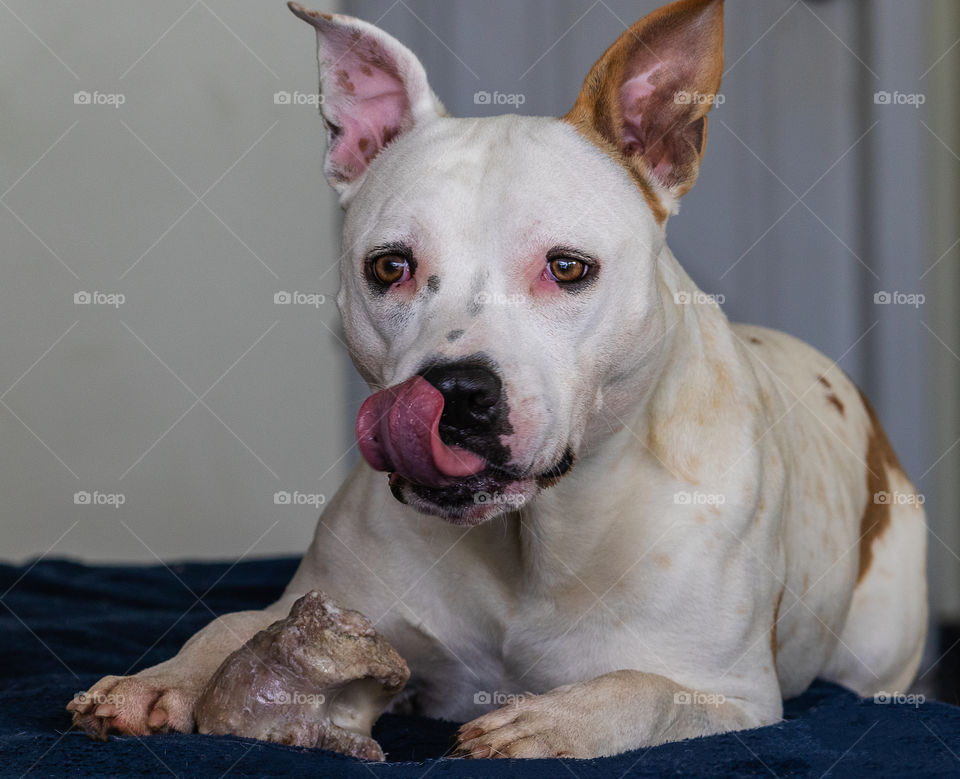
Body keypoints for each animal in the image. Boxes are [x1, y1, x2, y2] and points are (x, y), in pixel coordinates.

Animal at [65, 0, 924, 760]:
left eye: (568, 268)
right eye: (390, 267)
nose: (456, 392)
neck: (528, 536)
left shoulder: (734, 695)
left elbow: (642, 689)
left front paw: (552, 721)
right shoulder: (327, 609)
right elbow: (232, 624)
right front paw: (161, 679)